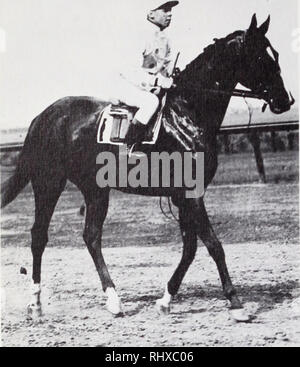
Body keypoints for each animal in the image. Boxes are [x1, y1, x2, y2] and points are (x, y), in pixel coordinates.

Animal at [0, 15, 294, 322]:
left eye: (275, 55)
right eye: (261, 57)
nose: (285, 100)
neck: (187, 113)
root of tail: (43, 116)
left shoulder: (182, 196)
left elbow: (190, 248)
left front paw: (165, 299)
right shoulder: (191, 195)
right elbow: (214, 244)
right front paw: (235, 303)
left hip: (95, 190)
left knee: (91, 236)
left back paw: (113, 299)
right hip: (48, 183)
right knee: (39, 236)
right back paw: (36, 303)